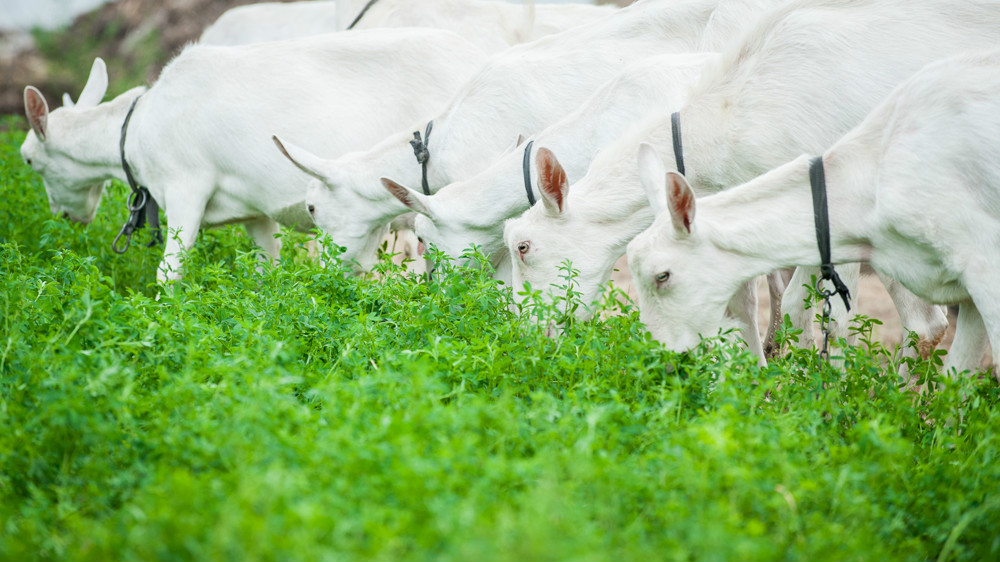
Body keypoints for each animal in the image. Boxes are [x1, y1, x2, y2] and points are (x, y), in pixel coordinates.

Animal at [21, 27, 490, 280]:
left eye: (28, 159)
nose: (64, 215)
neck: (137, 126)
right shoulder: (252, 211)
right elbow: (268, 266)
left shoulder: (186, 187)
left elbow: (169, 271)